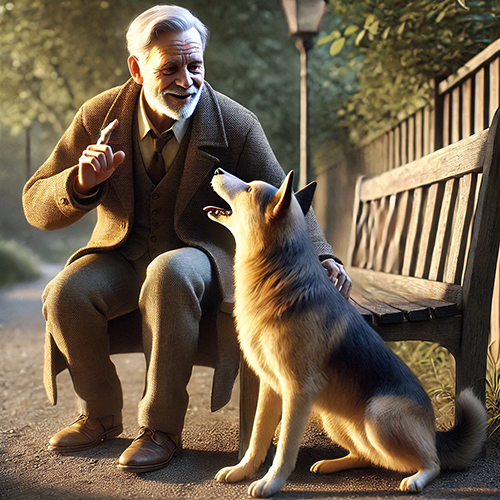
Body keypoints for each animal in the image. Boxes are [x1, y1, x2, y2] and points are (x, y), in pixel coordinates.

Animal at [204, 168, 488, 496]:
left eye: (249, 189)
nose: (217, 170)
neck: (277, 277)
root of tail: (433, 431)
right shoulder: (270, 387)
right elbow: (257, 437)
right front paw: (244, 470)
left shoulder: (297, 393)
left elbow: (285, 447)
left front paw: (271, 482)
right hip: (332, 416)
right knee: (367, 456)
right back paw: (332, 464)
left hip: (379, 415)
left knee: (433, 462)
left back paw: (416, 478)